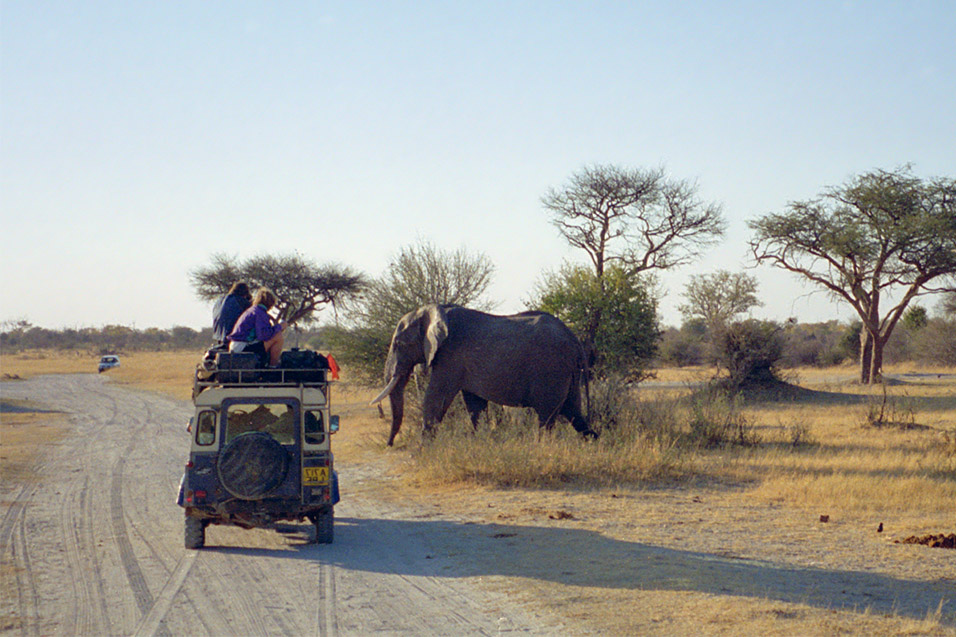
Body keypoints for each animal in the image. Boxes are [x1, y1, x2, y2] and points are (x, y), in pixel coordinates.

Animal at [368, 304, 596, 444]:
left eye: (398, 344)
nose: (389, 444)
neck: (434, 310)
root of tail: (574, 339)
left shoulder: (450, 356)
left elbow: (436, 398)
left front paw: (422, 452)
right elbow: (474, 404)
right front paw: (483, 441)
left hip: (551, 369)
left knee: (547, 416)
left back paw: (540, 448)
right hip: (566, 372)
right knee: (573, 411)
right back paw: (594, 441)